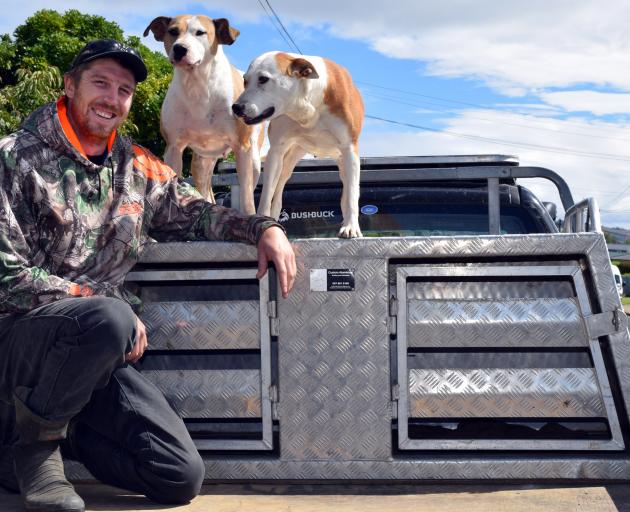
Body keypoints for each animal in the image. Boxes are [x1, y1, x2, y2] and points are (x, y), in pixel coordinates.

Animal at [144, 15, 262, 213]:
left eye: (200, 32)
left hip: (253, 160)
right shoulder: (173, 148)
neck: (197, 84)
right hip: (202, 162)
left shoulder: (242, 148)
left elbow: (247, 200)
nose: (179, 48)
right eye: (173, 31)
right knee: (206, 192)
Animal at [232, 50, 366, 238]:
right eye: (245, 80)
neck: (308, 104)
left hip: (343, 162)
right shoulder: (277, 150)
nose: (236, 107)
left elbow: (353, 193)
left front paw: (351, 226)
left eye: (263, 79)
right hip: (288, 159)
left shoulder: (350, 149)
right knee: (278, 188)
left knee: (347, 188)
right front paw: (264, 219)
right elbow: (267, 193)